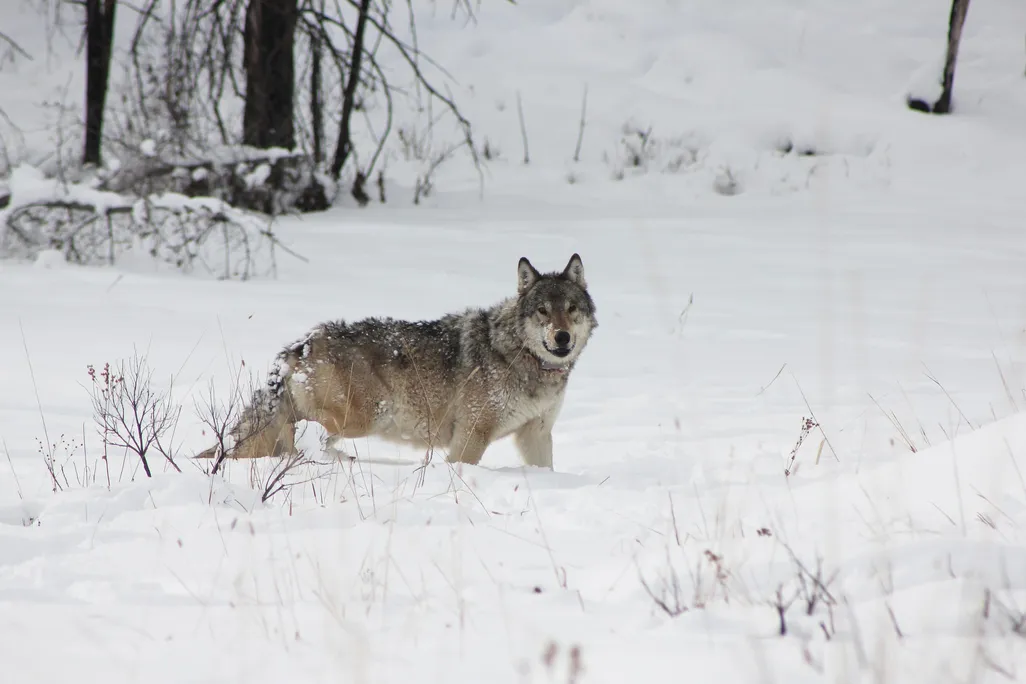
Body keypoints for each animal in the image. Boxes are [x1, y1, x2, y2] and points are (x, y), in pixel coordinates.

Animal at [197, 254, 597, 469]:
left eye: (570, 309)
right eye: (543, 311)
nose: (562, 338)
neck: (520, 356)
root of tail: (302, 344)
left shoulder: (537, 435)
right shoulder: (472, 435)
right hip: (364, 417)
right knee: (309, 439)